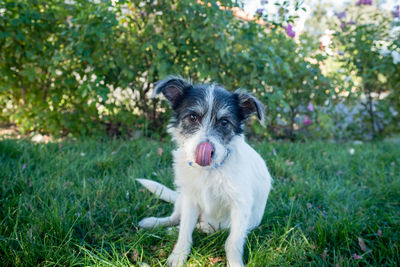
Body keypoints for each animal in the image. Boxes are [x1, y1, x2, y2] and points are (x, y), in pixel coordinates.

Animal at [137, 77, 272, 267]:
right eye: (193, 117)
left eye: (224, 122)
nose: (206, 150)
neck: (210, 171)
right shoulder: (190, 200)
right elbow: (185, 232)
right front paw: (178, 255)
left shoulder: (240, 207)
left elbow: (233, 242)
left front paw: (234, 262)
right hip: (182, 199)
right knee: (175, 218)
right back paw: (155, 223)